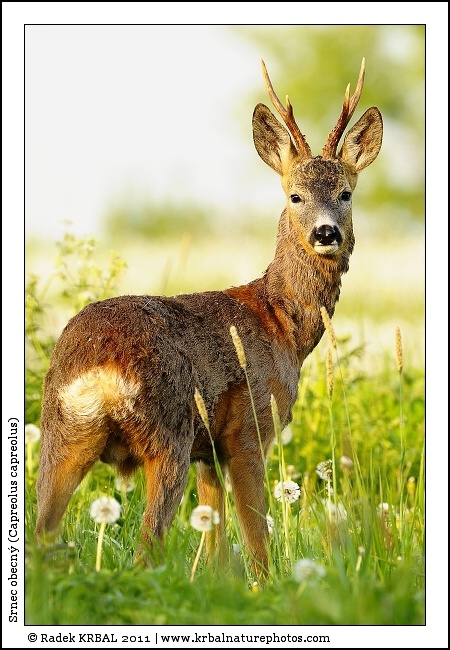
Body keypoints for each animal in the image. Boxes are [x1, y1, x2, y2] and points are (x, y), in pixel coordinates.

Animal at [35, 58, 382, 578]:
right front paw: (267, 587)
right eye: (295, 196)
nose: (326, 233)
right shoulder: (249, 429)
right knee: (146, 547)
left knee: (42, 533)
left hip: (61, 434)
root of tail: (98, 366)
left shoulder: (209, 452)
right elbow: (256, 538)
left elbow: (216, 544)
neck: (282, 325)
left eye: (345, 193)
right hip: (168, 433)